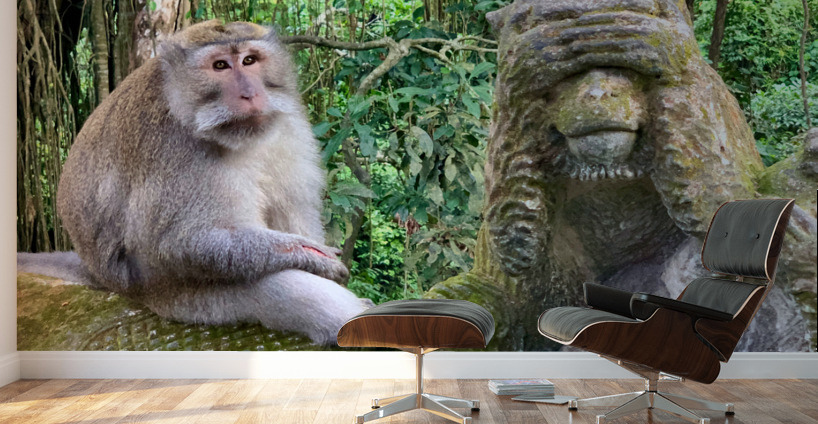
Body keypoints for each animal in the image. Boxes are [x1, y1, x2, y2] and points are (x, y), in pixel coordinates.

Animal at [17, 20, 371, 346]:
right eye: (220, 66)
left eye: (250, 60)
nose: (250, 93)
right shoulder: (176, 149)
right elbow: (178, 245)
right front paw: (306, 253)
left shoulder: (289, 124)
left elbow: (294, 208)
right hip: (178, 298)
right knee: (275, 283)